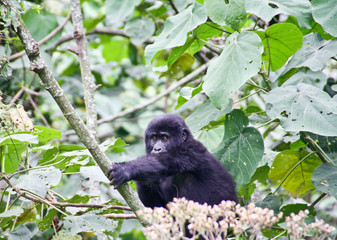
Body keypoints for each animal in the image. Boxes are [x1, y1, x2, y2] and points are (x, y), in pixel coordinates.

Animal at [107, 113, 236, 207]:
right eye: (154, 138)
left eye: (164, 138)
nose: (157, 149)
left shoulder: (190, 150)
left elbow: (163, 162)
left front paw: (126, 169)